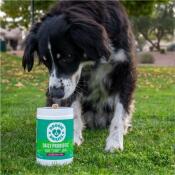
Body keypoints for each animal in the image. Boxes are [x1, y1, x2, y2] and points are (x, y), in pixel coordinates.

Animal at [22, 0, 137, 152]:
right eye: (45, 61)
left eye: (67, 57)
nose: (55, 93)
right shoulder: (75, 80)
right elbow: (73, 106)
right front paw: (73, 137)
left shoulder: (125, 69)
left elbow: (121, 110)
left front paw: (114, 142)